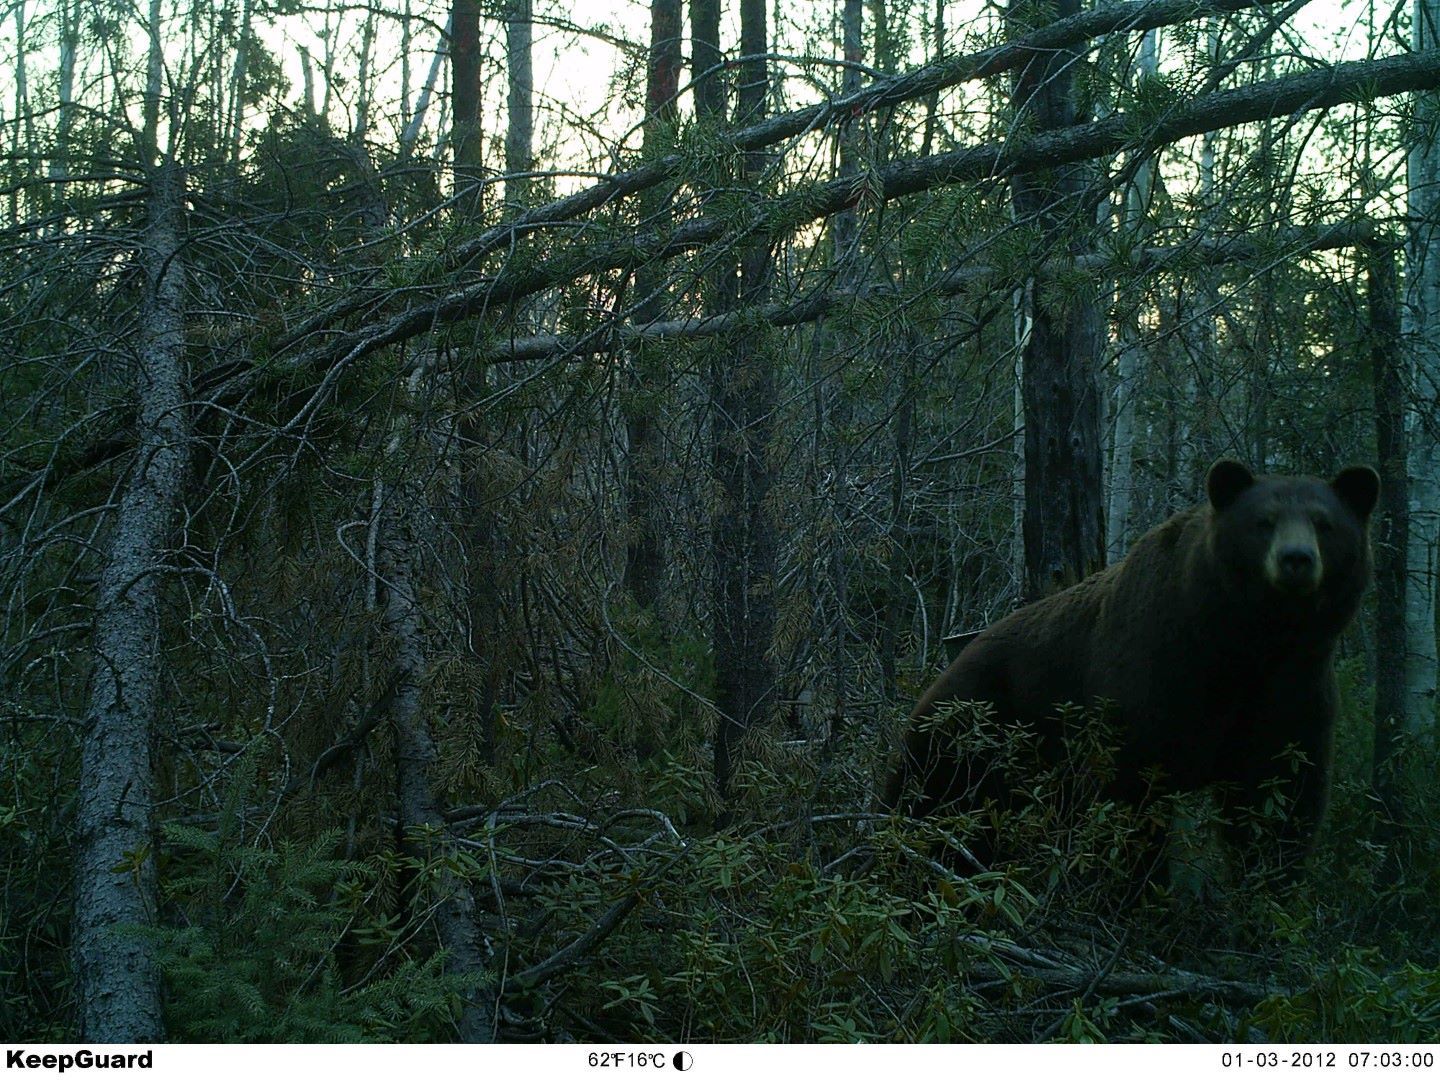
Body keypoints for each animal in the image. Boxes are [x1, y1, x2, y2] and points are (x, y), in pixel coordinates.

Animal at [881, 460, 1376, 881]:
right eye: (1264, 521)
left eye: (1325, 523)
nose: (1296, 559)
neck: (1241, 645)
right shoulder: (1152, 676)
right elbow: (1128, 799)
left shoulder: (1292, 688)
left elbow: (1281, 801)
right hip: (969, 735)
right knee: (930, 801)